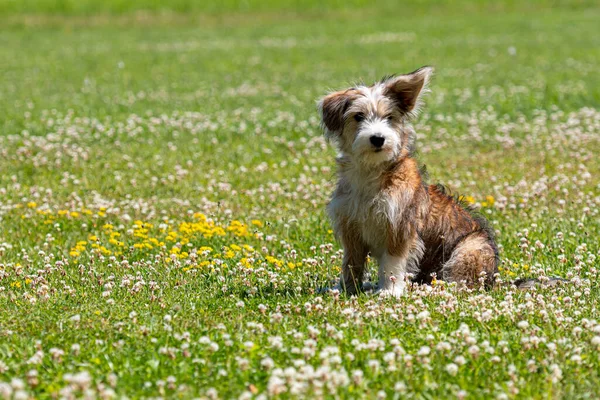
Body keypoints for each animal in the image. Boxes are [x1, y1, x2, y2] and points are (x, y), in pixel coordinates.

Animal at [316, 66, 500, 296]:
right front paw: (345, 289)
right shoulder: (351, 228)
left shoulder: (399, 227)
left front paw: (390, 291)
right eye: (358, 116)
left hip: (470, 249)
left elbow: (392, 264)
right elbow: (351, 264)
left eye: (389, 117)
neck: (371, 172)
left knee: (458, 285)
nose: (378, 138)